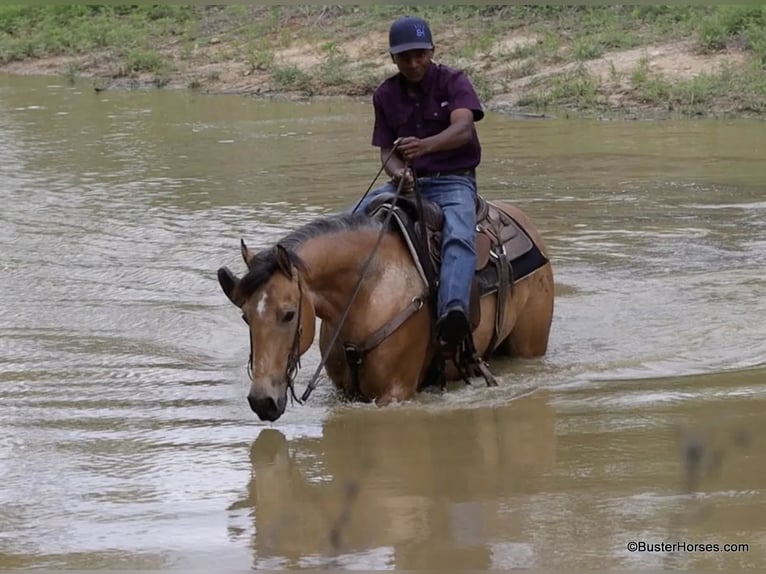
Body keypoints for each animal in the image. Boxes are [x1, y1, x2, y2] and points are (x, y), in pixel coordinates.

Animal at [217, 198, 554, 422]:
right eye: (246, 316)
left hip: (529, 346)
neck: (368, 290)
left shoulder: (394, 393)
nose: (262, 401)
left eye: (288, 314)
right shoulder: (345, 391)